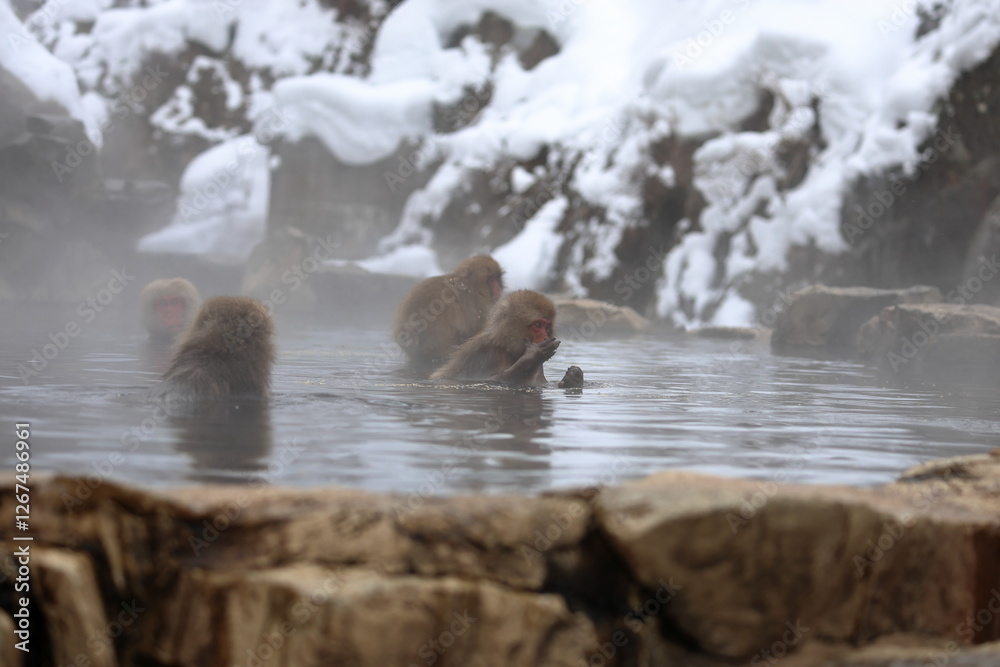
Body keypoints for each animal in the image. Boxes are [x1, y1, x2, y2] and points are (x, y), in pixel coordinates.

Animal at [430, 289, 563, 386]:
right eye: (538, 325)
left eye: (547, 327)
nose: (545, 337)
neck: (506, 347)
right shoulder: (486, 354)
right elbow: (489, 379)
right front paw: (532, 357)